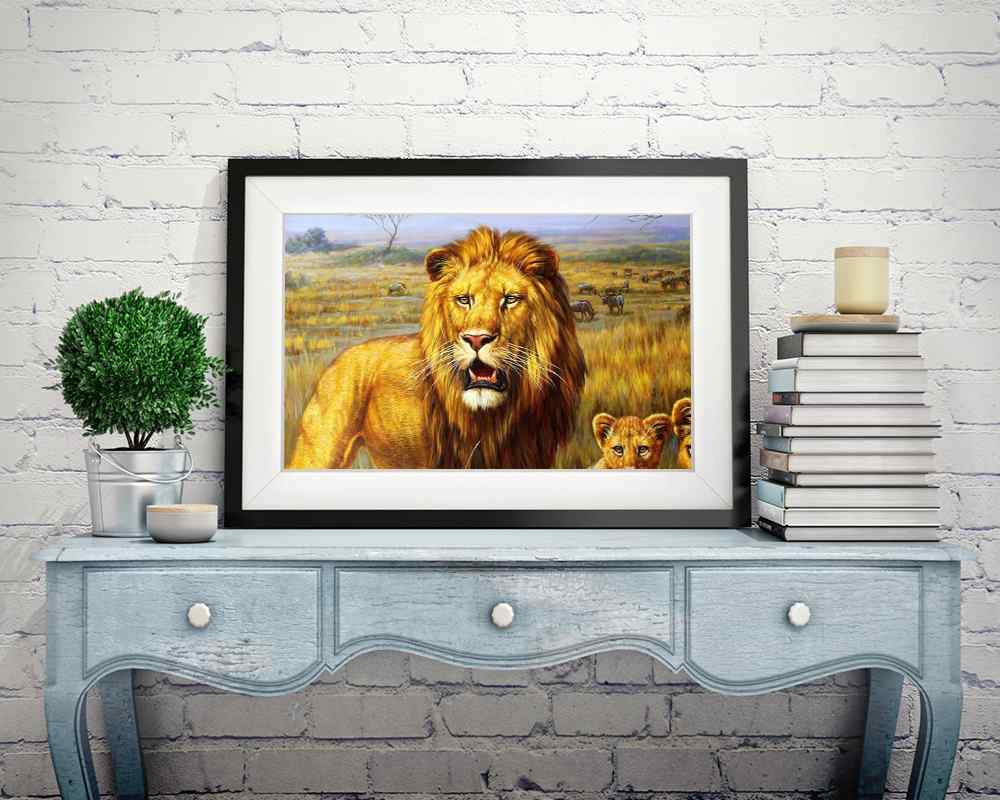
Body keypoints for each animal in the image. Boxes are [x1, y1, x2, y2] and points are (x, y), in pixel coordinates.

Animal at [289, 226, 586, 469]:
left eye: (511, 299)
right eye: (464, 299)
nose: (476, 339)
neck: (494, 420)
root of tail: (338, 359)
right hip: (319, 451)